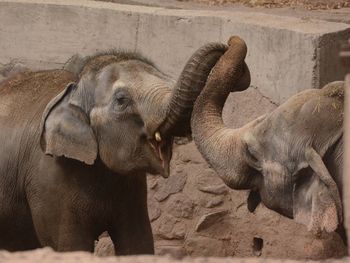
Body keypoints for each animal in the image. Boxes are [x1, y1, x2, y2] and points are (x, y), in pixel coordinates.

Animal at [0, 42, 227, 255]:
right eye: (121, 100)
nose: (227, 45)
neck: (74, 87)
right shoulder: (49, 181)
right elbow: (71, 247)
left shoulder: (132, 189)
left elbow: (137, 243)